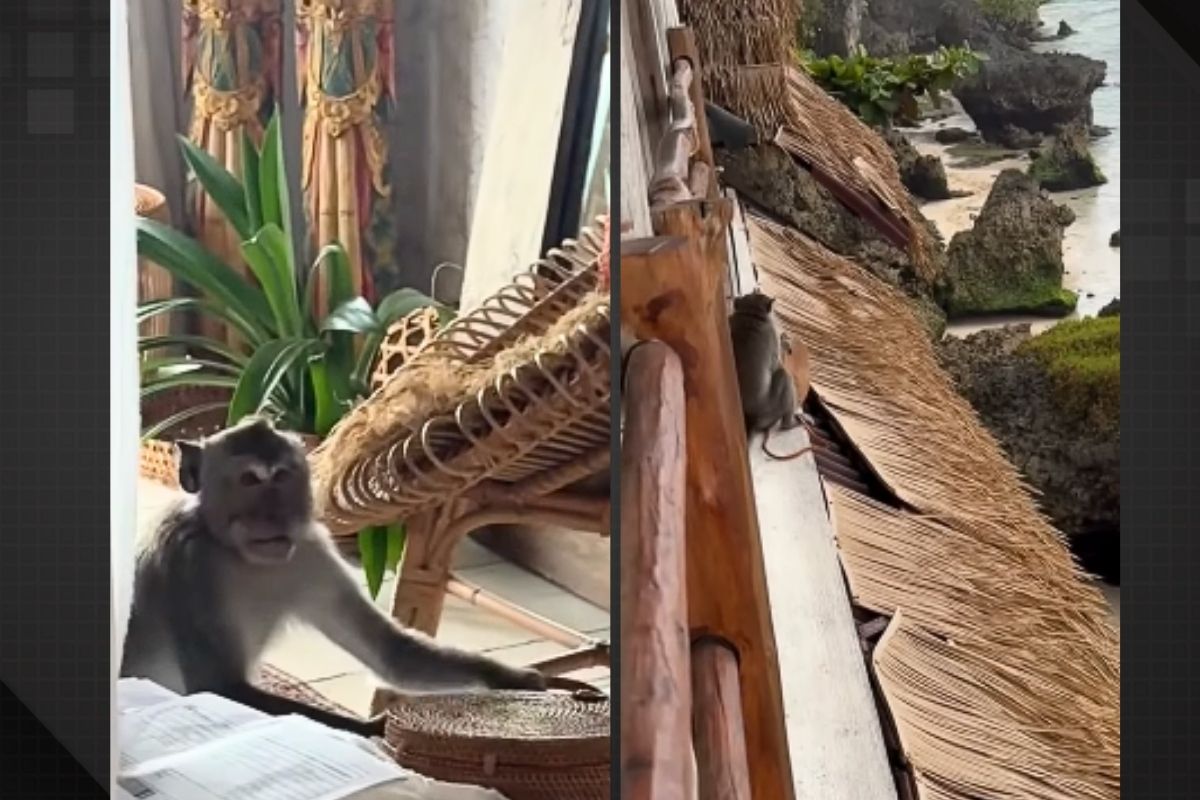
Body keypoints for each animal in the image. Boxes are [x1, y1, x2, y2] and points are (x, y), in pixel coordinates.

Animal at [120, 416, 547, 738]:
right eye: (250, 480)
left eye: (281, 476)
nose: (274, 515)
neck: (236, 553)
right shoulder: (187, 563)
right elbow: (220, 688)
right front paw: (374, 731)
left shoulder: (312, 553)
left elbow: (392, 653)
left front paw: (515, 679)